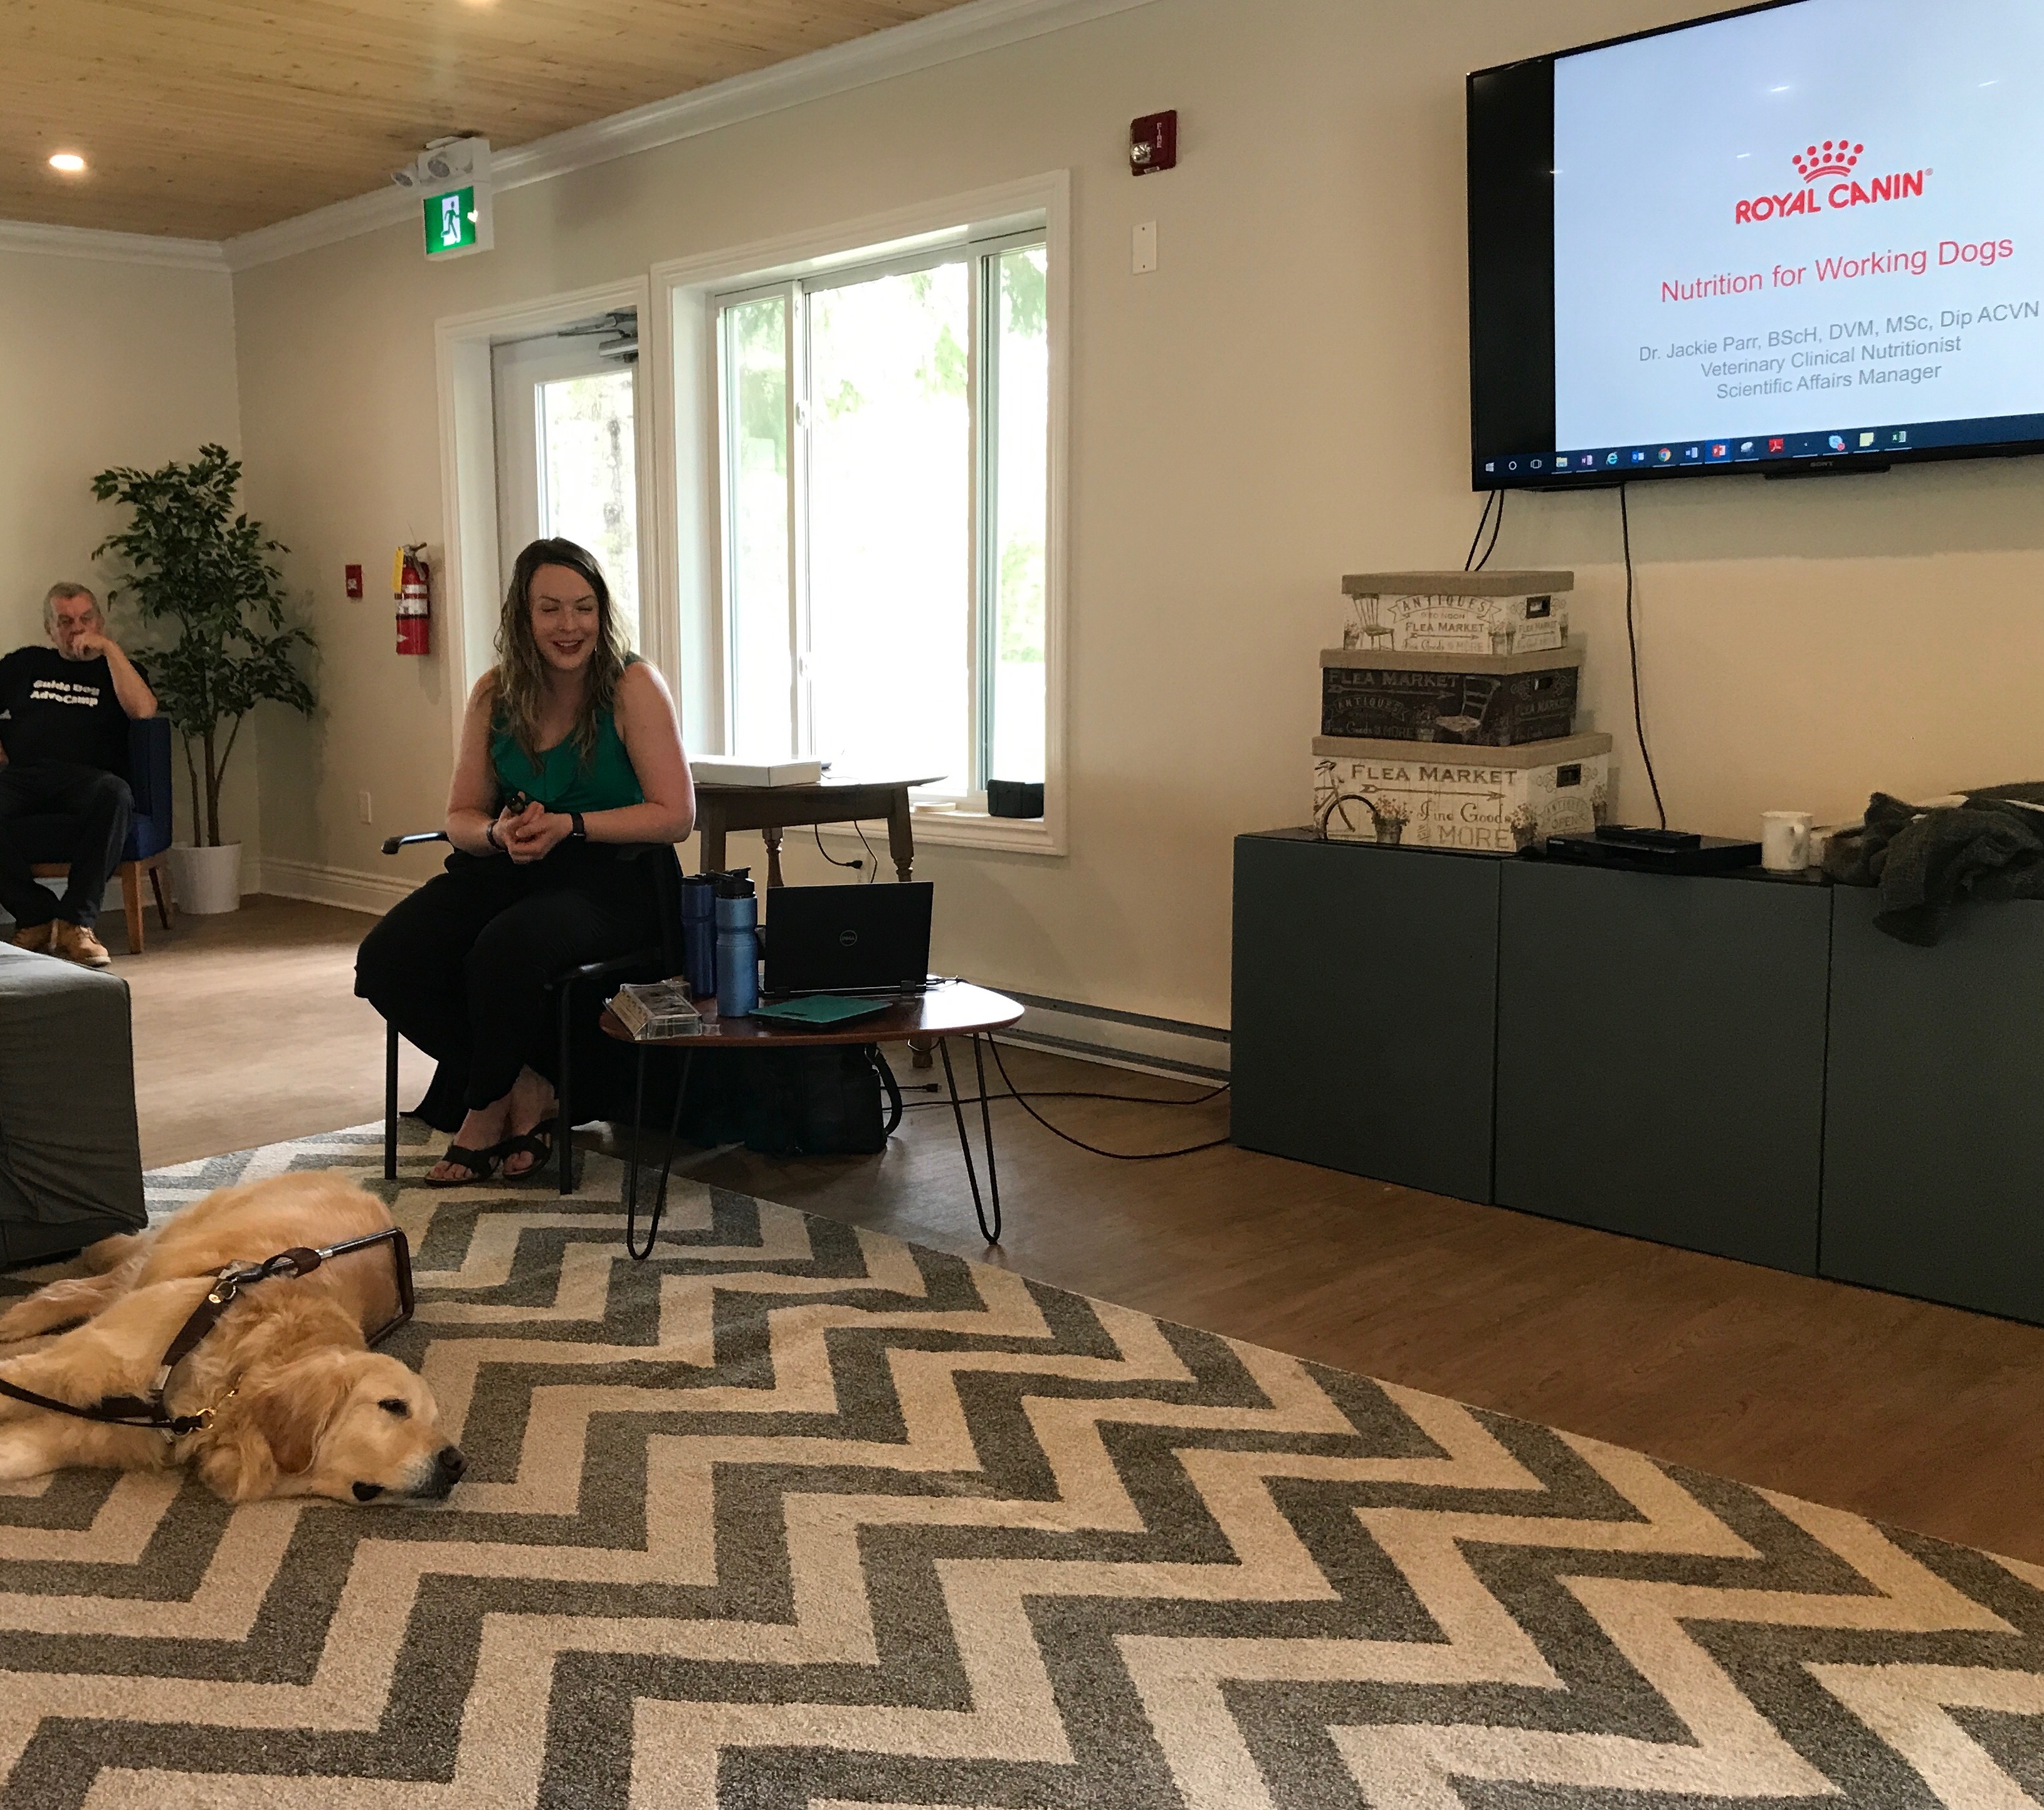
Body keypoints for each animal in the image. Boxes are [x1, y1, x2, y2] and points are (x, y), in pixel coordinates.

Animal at [0, 1162, 464, 1505]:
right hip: (166, 1252)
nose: (457, 1463)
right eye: (394, 1406)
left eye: (435, 1419)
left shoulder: (97, 1431)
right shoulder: (69, 1369)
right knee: (73, 1286)